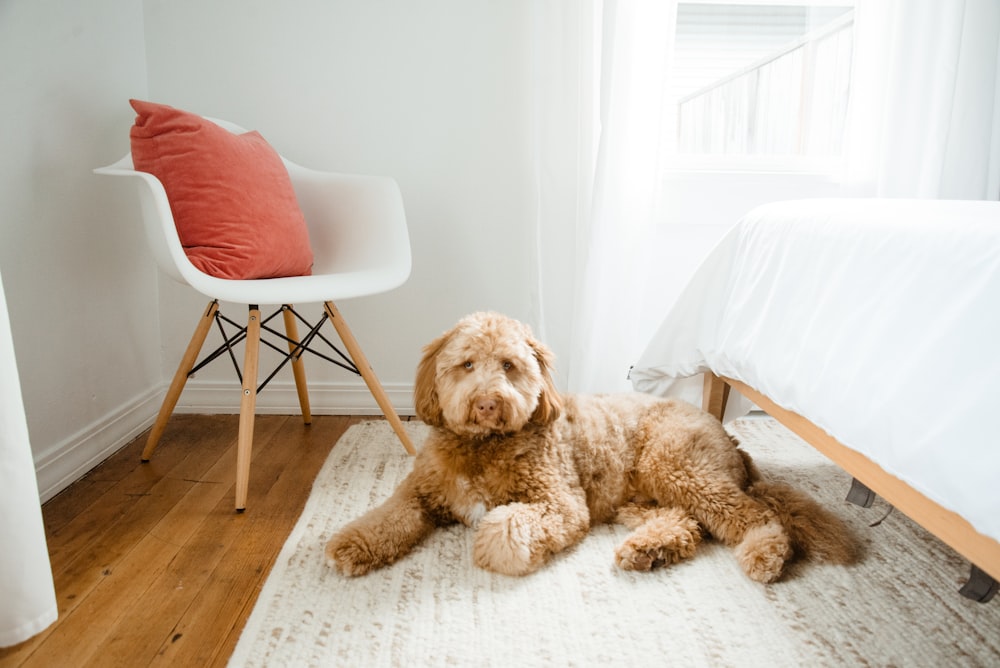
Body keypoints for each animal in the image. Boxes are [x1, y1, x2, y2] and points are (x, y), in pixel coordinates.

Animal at [324, 312, 856, 580]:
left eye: (510, 365)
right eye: (467, 364)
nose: (488, 403)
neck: (485, 446)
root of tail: (730, 437)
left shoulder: (559, 503)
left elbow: (502, 526)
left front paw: (502, 554)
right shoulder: (420, 493)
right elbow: (386, 516)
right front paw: (352, 543)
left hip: (679, 467)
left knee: (755, 516)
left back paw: (765, 553)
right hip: (648, 496)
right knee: (688, 524)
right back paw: (650, 550)